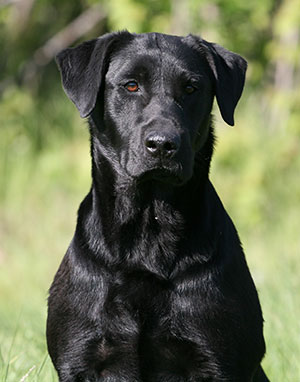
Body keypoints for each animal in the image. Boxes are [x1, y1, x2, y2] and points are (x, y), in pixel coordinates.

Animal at [47, 31, 270, 380]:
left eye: (191, 88)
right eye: (131, 85)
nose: (163, 144)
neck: (148, 232)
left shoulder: (218, 360)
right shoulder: (80, 359)